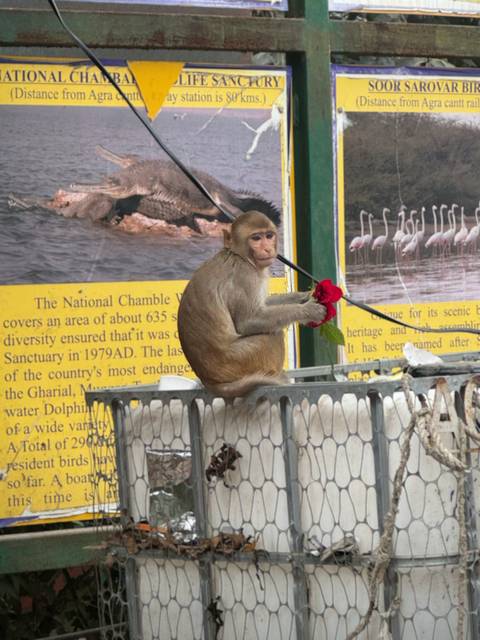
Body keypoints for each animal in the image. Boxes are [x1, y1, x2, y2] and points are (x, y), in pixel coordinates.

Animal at [177, 211, 326, 398]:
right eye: (256, 238)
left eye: (268, 236)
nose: (268, 248)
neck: (238, 255)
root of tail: (209, 380)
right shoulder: (245, 275)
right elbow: (248, 321)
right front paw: (308, 310)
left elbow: (263, 304)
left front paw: (304, 297)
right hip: (239, 359)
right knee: (272, 333)